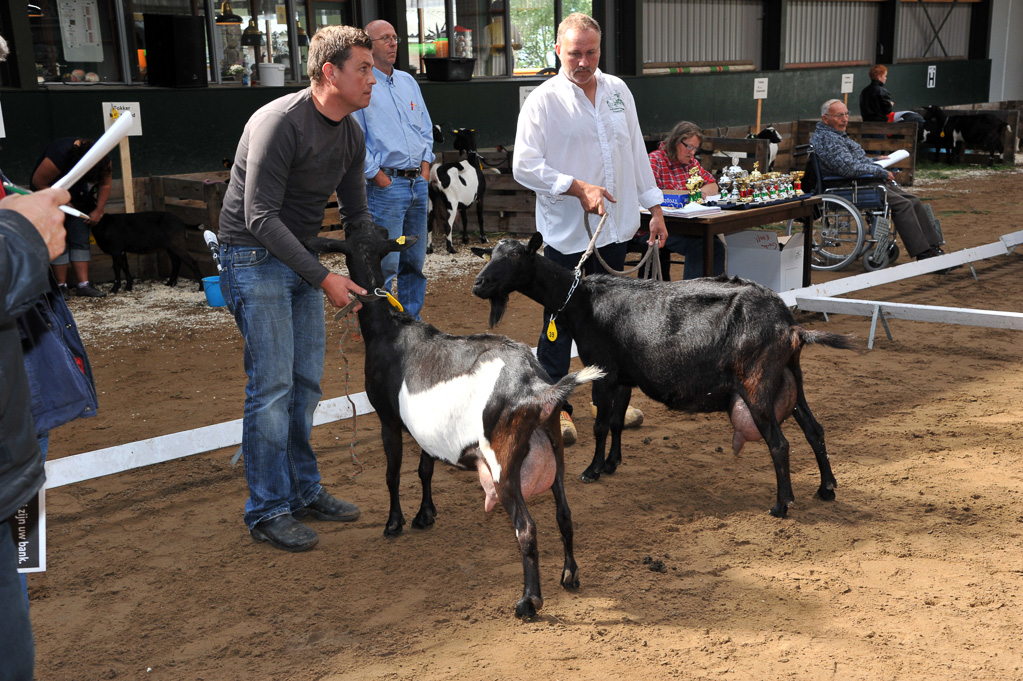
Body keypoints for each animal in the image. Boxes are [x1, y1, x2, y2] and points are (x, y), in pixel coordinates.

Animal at [302, 224, 605, 617]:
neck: (390, 328)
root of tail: (537, 386)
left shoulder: (387, 418)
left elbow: (393, 472)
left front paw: (395, 523)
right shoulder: (426, 428)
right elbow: (425, 468)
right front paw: (426, 514)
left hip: (502, 461)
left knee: (526, 528)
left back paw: (529, 601)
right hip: (554, 449)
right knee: (564, 514)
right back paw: (569, 575)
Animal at [470, 232, 855, 515]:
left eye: (515, 256)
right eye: (490, 255)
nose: (478, 284)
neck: (581, 301)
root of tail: (789, 327)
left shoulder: (603, 371)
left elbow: (600, 424)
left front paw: (592, 470)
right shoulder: (624, 376)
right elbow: (616, 421)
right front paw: (612, 463)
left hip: (757, 383)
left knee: (779, 443)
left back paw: (781, 505)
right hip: (790, 376)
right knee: (814, 429)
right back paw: (826, 488)